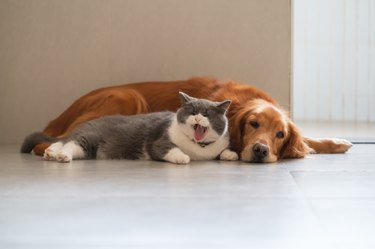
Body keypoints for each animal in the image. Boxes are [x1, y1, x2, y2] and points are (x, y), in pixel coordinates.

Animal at [21, 92, 238, 164]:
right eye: (192, 111)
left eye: (207, 114)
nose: (198, 117)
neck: (198, 149)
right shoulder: (158, 141)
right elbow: (170, 149)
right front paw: (182, 158)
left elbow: (222, 151)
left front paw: (230, 154)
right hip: (89, 139)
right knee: (69, 144)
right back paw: (61, 156)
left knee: (62, 143)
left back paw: (51, 153)